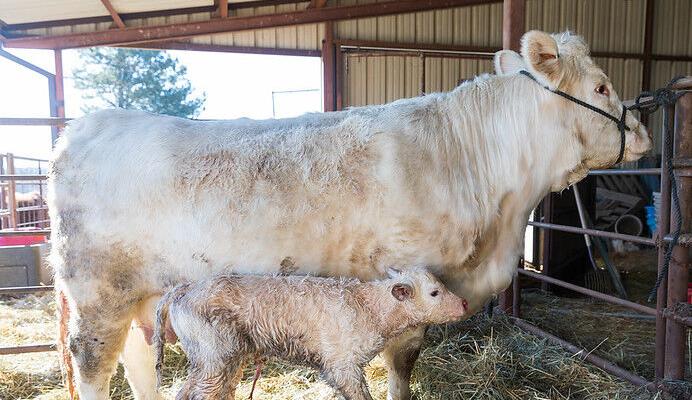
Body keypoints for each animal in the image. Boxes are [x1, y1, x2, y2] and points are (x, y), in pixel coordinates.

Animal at [153, 268, 468, 400]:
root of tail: (182, 289)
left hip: (225, 357)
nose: (464, 303)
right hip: (211, 356)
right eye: (434, 292)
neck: (369, 307)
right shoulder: (342, 365)